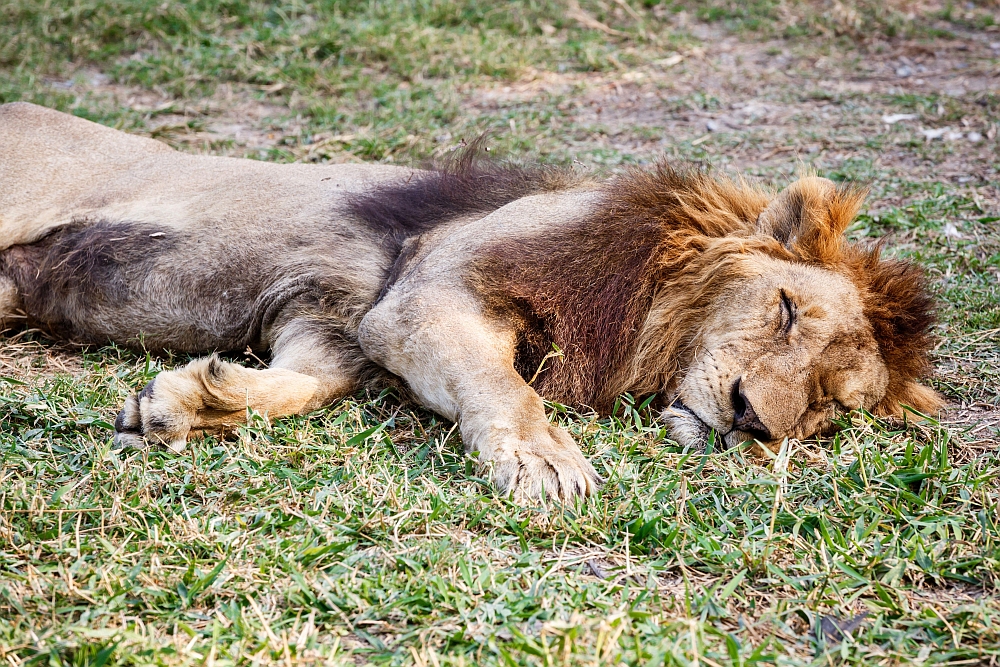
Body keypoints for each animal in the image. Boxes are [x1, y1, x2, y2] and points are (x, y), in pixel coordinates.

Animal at [0, 104, 936, 500]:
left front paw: (188, 403)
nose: (751, 417)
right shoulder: (429, 291)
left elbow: (299, 386)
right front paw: (545, 461)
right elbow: (507, 388)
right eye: (785, 309)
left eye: (826, 408)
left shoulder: (334, 322)